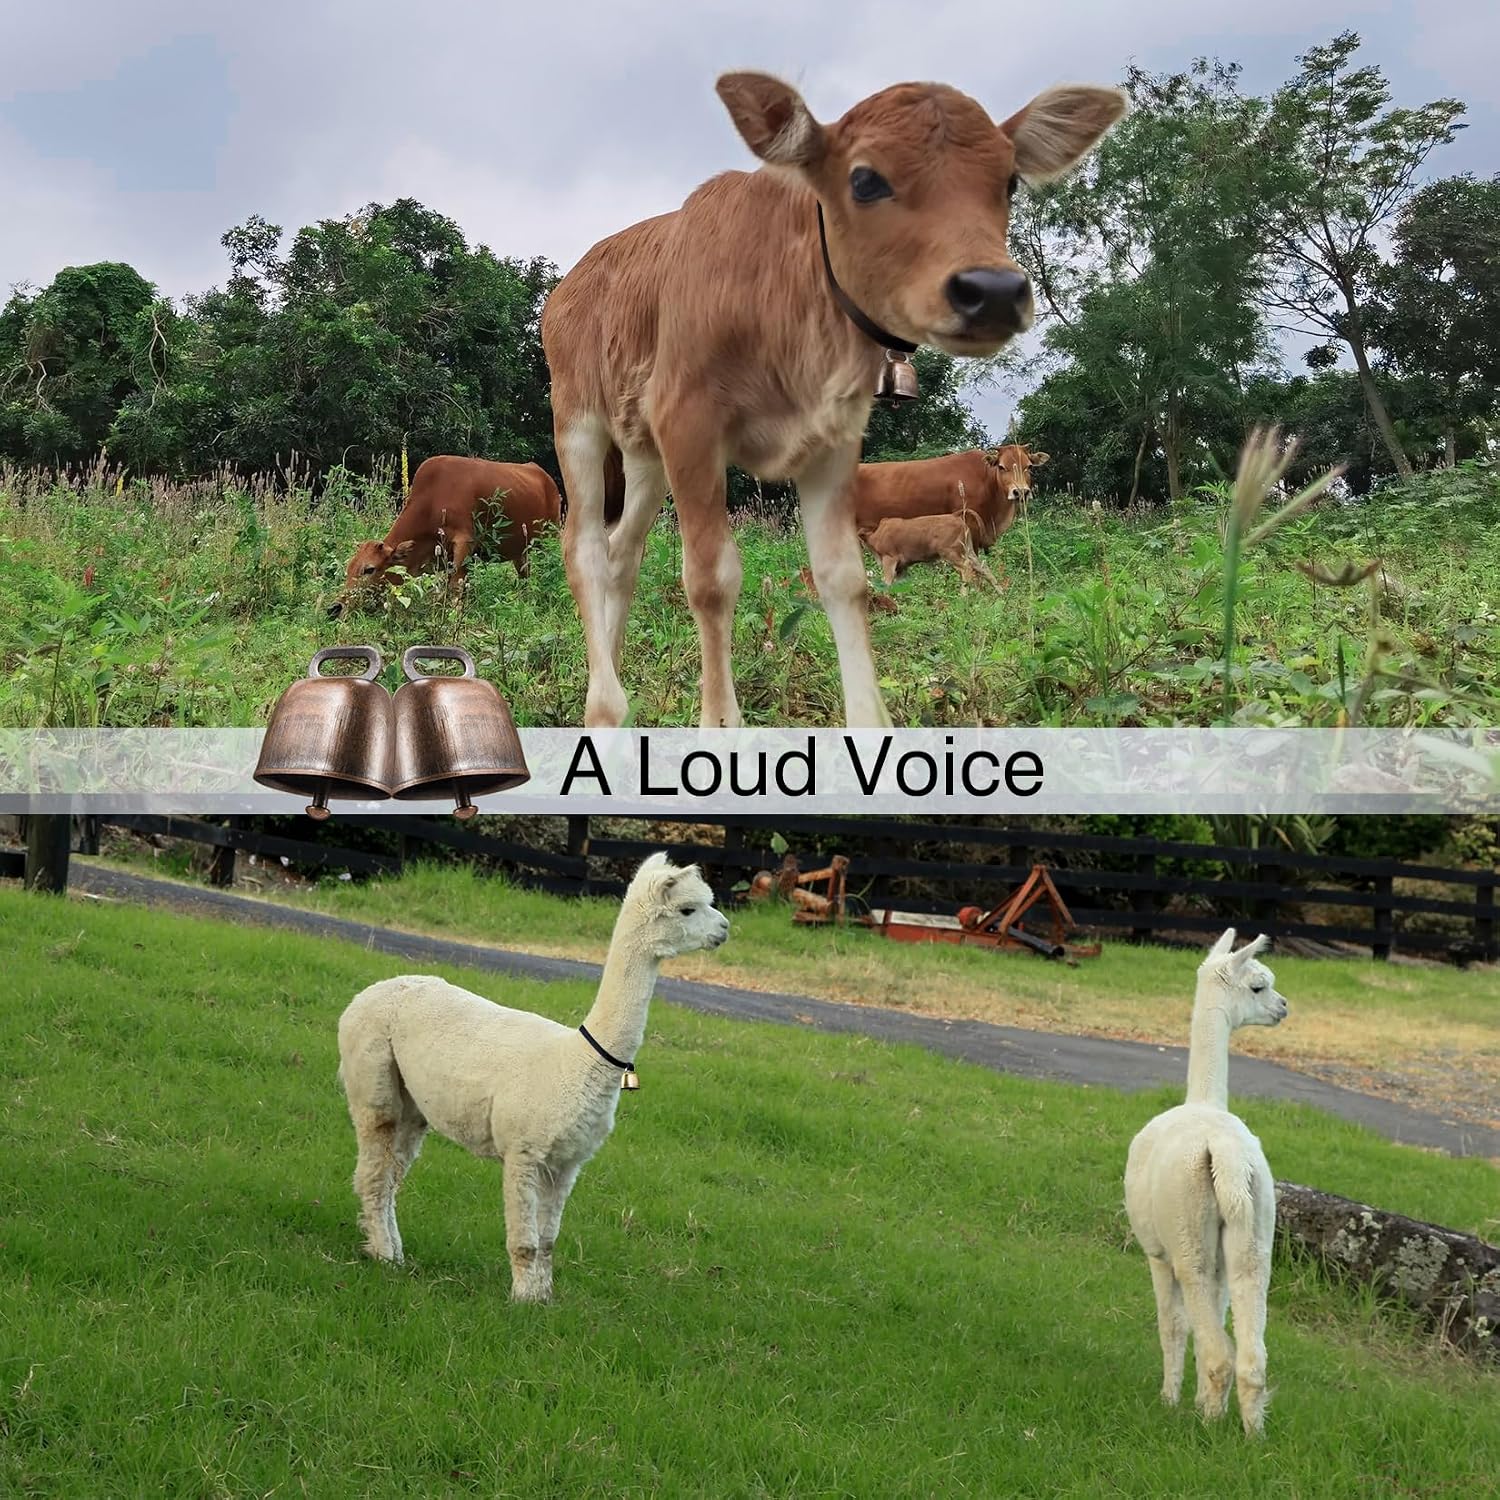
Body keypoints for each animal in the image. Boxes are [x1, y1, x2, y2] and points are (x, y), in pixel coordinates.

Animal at [332, 455, 561, 617]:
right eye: (348, 568)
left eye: (369, 569)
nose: (335, 608)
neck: (431, 501)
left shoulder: (464, 542)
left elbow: (454, 588)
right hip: (520, 552)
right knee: (525, 575)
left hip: (552, 537)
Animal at [336, 852, 730, 1301]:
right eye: (688, 909)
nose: (725, 928)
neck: (578, 1061)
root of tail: (365, 994)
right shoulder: (523, 1151)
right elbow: (524, 1242)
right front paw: (522, 1300)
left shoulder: (567, 1161)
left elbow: (548, 1240)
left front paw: (544, 1299)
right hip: (372, 1076)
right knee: (373, 1170)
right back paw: (385, 1256)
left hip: (413, 1105)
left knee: (390, 1175)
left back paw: (388, 1250)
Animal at [859, 513, 1006, 594]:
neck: (875, 535)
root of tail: (955, 516)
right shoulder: (902, 567)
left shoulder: (889, 559)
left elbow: (887, 583)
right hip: (968, 551)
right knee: (983, 567)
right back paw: (1001, 593)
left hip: (951, 553)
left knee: (966, 567)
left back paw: (963, 596)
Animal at [1123, 929, 1289, 1435]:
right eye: (1259, 986)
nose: (1283, 1007)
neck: (1204, 1099)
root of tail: (1228, 1156)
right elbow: (1206, 1323)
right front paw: (1193, 1399)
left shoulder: (1157, 1252)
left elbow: (1174, 1326)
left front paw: (1171, 1399)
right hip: (1254, 1231)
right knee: (1250, 1356)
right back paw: (1253, 1433)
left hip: (1186, 1233)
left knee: (1217, 1352)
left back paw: (1210, 1425)